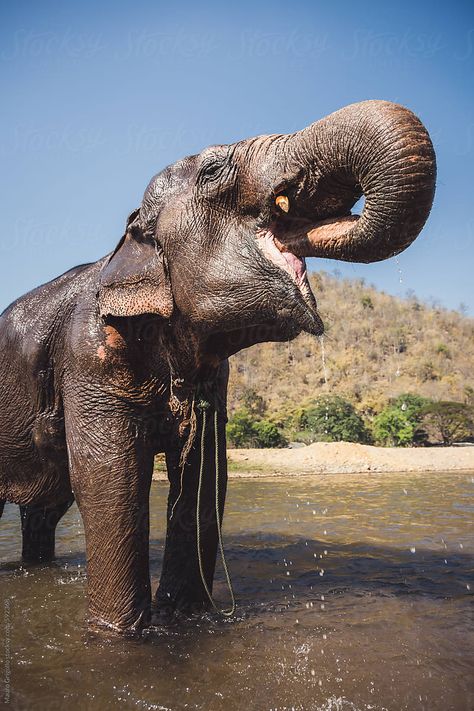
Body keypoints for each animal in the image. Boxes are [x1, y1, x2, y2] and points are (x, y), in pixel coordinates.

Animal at [0, 100, 436, 636]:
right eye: (211, 171)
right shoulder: (89, 354)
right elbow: (110, 477)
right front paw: (121, 637)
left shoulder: (215, 376)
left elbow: (206, 478)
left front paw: (185, 616)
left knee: (43, 511)